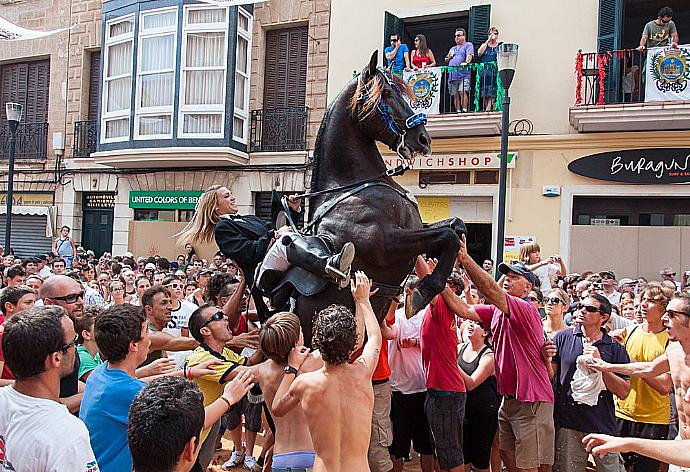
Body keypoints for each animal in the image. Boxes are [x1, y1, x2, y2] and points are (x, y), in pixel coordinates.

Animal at [284, 51, 462, 344]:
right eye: (387, 93)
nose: (423, 139)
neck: (350, 185)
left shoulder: (416, 231)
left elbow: (456, 227)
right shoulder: (386, 243)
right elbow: (448, 236)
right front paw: (422, 291)